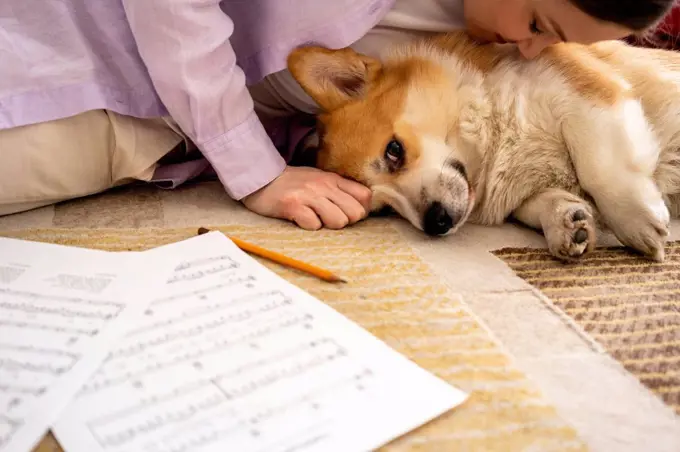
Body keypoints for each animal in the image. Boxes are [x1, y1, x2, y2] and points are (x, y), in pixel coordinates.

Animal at [286, 31, 680, 264]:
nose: (436, 223)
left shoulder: (579, 90)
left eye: (393, 150)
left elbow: (600, 165)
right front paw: (568, 221)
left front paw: (638, 222)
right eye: (382, 210)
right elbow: (539, 203)